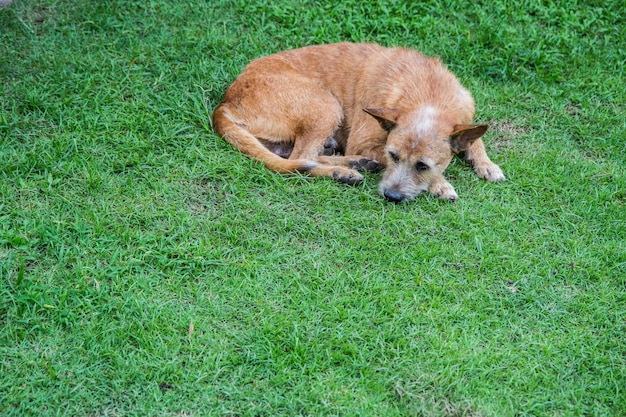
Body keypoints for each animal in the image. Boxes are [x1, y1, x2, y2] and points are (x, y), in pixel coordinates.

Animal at [212, 42, 504, 202]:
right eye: (394, 156)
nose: (391, 196)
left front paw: (486, 164)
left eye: (422, 165)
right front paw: (440, 184)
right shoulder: (363, 141)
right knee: (301, 159)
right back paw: (343, 171)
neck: (428, 93)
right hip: (327, 106)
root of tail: (225, 102)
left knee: (298, 156)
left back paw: (353, 165)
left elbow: (476, 139)